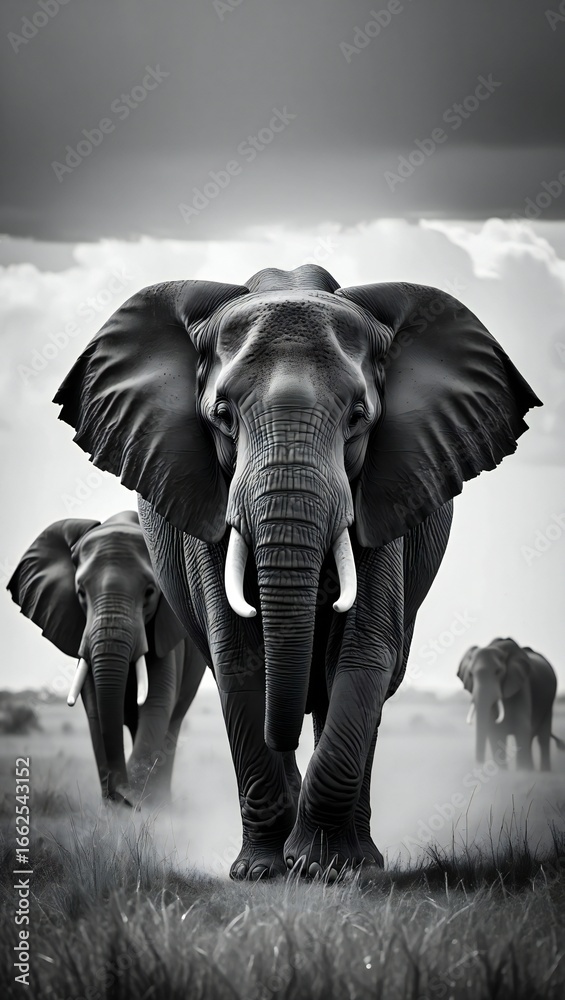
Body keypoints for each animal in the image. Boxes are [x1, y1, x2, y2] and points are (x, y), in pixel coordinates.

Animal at [8, 511, 206, 805]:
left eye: (150, 592)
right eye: (80, 593)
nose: (120, 793)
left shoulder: (166, 637)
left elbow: (156, 705)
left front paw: (135, 802)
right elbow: (96, 714)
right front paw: (117, 807)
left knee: (172, 724)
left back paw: (162, 803)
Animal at [53, 264, 540, 878]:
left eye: (358, 417)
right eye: (223, 417)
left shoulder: (388, 489)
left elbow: (362, 653)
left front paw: (321, 868)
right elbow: (239, 658)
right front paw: (261, 871)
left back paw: (359, 861)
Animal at [458, 638, 564, 770]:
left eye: (498, 672)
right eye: (470, 674)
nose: (479, 764)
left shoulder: (521, 684)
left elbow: (521, 727)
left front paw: (522, 772)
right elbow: (494, 731)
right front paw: (504, 772)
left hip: (549, 703)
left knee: (542, 739)